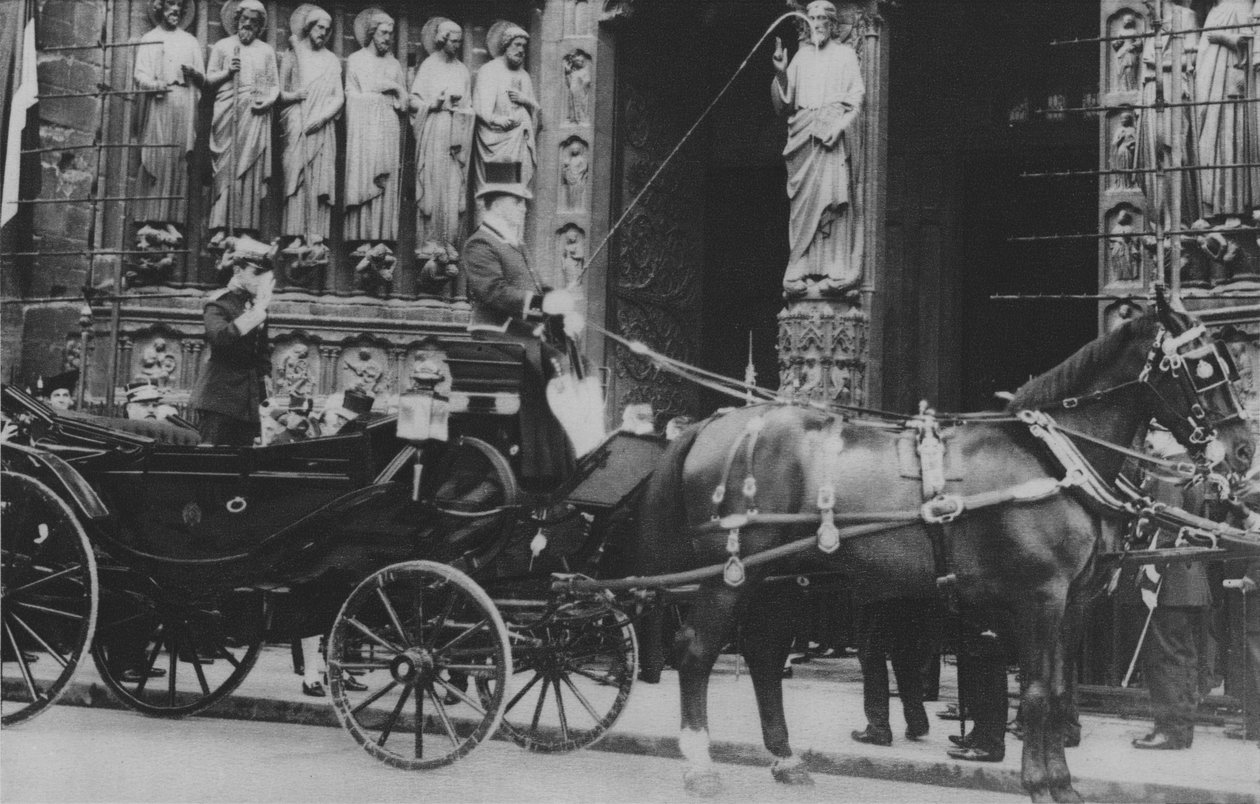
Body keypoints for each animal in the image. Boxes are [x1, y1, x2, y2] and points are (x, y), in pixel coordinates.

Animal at [635, 304, 1254, 801]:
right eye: (1202, 366)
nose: (1244, 449)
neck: (1052, 459)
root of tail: (715, 424)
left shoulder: (1071, 603)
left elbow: (1056, 692)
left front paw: (1061, 781)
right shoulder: (1041, 598)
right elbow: (1035, 693)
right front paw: (1039, 783)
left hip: (780, 574)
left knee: (763, 657)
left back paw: (786, 761)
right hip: (730, 574)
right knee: (696, 652)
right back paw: (700, 764)